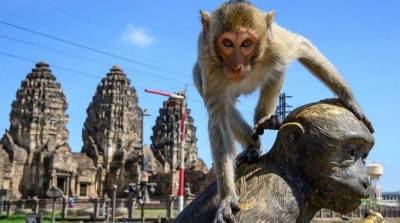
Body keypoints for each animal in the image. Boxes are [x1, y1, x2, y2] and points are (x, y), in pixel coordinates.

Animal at [194, 0, 376, 222]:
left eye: (246, 44)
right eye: (227, 43)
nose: (236, 66)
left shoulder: (276, 46)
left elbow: (303, 46)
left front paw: (350, 100)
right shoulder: (209, 63)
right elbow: (218, 119)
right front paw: (227, 197)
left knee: (277, 69)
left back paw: (264, 118)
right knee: (222, 102)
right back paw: (252, 144)